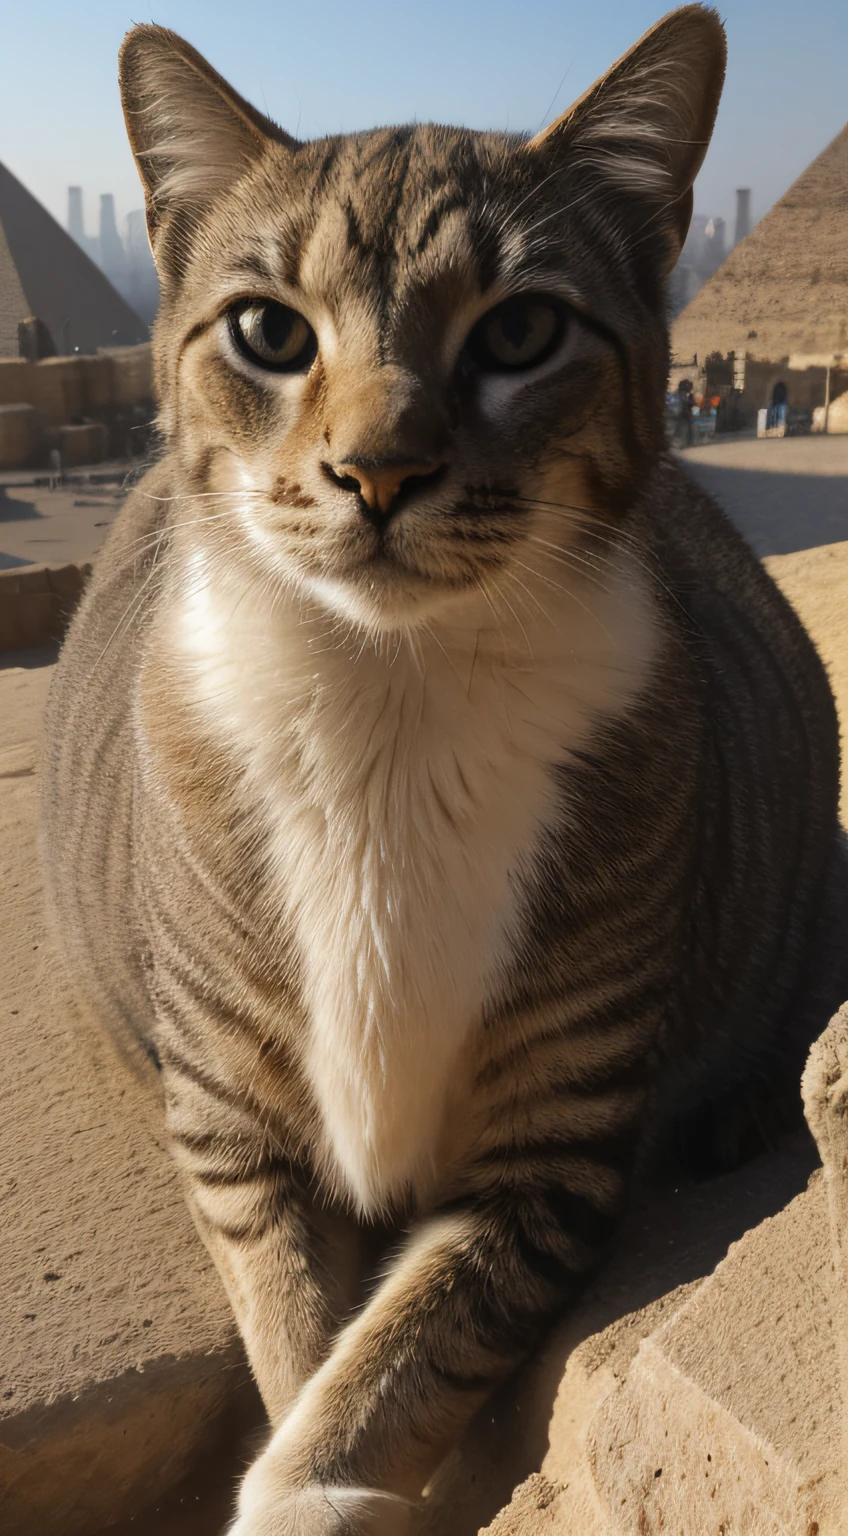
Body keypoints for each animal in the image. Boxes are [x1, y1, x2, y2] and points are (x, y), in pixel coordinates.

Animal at [43, 6, 848, 1529]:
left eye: (522, 330)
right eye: (268, 331)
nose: (378, 470)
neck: (388, 703)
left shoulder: (550, 1156)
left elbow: (393, 1364)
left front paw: (317, 1485)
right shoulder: (233, 1131)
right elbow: (301, 1343)